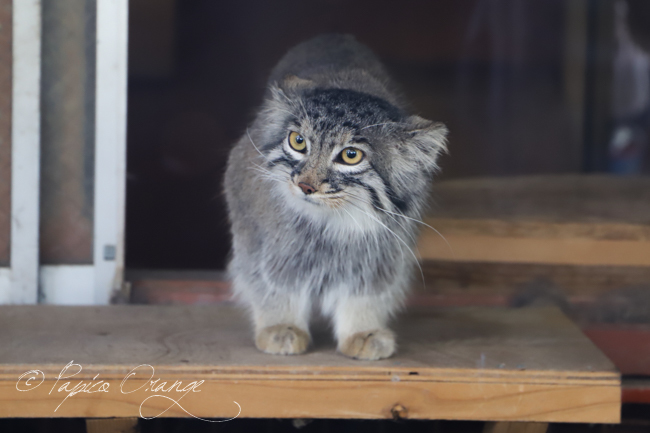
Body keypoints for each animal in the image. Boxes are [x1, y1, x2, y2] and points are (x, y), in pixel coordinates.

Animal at [224, 33, 446, 360]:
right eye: (297, 141)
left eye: (350, 155)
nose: (305, 186)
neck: (328, 226)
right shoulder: (263, 246)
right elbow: (272, 285)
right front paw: (280, 325)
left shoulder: (382, 256)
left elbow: (365, 294)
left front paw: (362, 330)